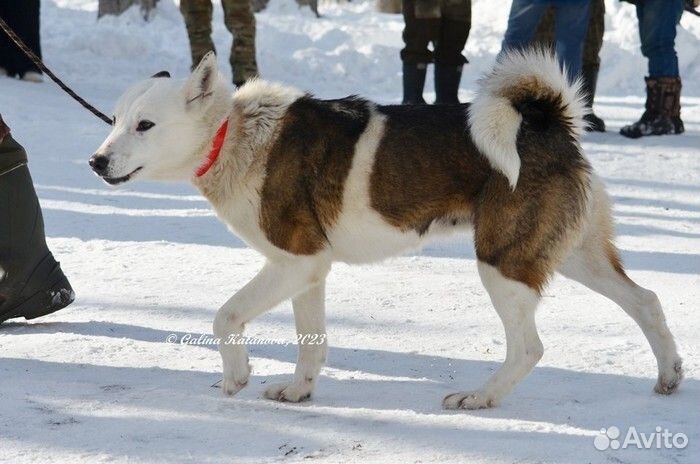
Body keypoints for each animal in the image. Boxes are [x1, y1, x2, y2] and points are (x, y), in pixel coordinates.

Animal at [90, 50, 680, 410]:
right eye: (114, 121)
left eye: (145, 125)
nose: (96, 161)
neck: (235, 135)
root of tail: (548, 122)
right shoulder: (306, 271)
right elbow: (311, 342)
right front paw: (300, 390)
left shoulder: (296, 260)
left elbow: (225, 315)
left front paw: (236, 375)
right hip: (573, 254)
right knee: (647, 300)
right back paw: (670, 375)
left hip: (502, 262)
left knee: (529, 348)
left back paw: (480, 397)